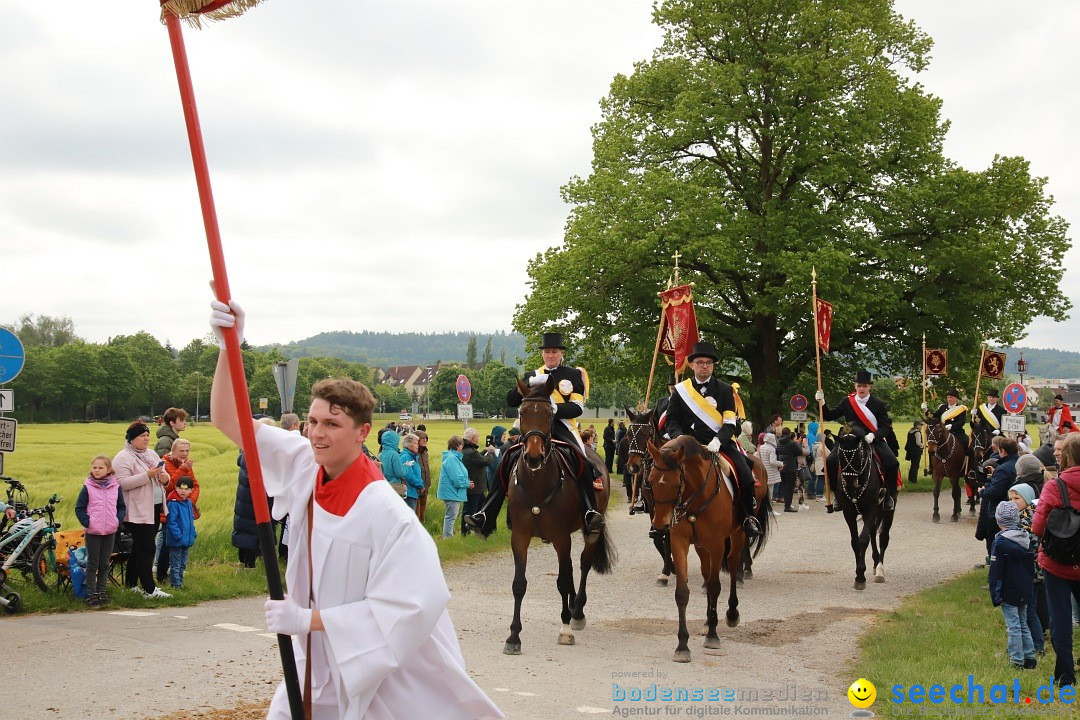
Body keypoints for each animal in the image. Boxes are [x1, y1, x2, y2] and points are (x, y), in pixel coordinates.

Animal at [503, 379, 617, 656]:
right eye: (522, 412)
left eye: (549, 414)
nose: (533, 456)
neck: (537, 483)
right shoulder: (520, 537)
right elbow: (519, 584)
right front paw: (514, 636)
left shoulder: (561, 537)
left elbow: (563, 582)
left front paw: (565, 628)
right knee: (570, 568)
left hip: (589, 530)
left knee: (583, 564)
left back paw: (576, 613)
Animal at [643, 433, 747, 664]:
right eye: (651, 481)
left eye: (675, 483)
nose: (660, 525)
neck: (694, 496)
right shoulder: (679, 542)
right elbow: (682, 593)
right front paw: (682, 645)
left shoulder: (717, 544)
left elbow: (715, 586)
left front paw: (713, 636)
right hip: (701, 547)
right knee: (707, 574)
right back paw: (708, 621)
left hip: (736, 536)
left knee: (732, 565)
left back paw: (731, 613)